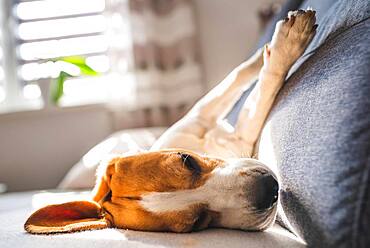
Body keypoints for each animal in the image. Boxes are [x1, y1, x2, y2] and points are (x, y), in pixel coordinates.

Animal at [24, 9, 316, 234]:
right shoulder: (243, 134)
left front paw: (277, 44)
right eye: (197, 223)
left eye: (186, 160)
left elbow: (238, 74)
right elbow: (263, 92)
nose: (269, 190)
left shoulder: (200, 114)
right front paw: (285, 50)